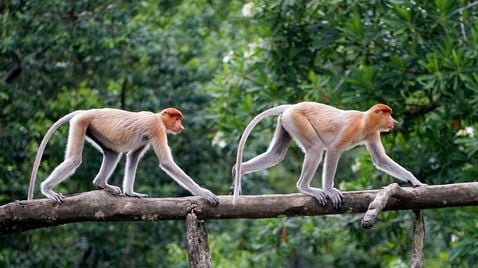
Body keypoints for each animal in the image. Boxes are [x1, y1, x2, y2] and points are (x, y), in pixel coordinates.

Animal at [29, 107, 220, 205]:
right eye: (177, 119)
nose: (181, 127)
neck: (158, 117)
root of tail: (87, 111)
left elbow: (133, 156)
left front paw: (131, 193)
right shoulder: (156, 128)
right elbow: (166, 162)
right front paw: (204, 193)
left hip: (94, 130)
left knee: (113, 153)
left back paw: (103, 184)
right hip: (80, 122)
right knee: (75, 159)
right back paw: (47, 189)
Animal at [232, 102, 426, 207]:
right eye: (387, 114)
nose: (394, 121)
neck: (365, 121)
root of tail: (292, 106)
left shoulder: (372, 133)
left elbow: (380, 159)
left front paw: (415, 181)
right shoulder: (352, 128)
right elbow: (333, 149)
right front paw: (329, 191)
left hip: (286, 122)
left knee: (276, 154)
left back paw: (237, 171)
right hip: (297, 120)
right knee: (315, 148)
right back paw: (306, 187)